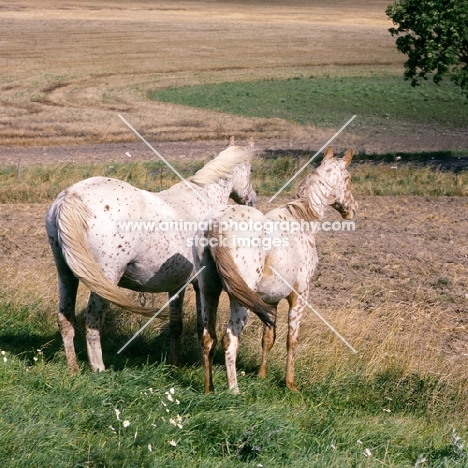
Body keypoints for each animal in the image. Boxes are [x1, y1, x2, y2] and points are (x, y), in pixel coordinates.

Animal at [46, 139, 258, 372]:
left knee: (65, 317)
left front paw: (173, 363)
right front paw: (203, 362)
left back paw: (73, 368)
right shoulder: (199, 284)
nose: (251, 200)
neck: (202, 201)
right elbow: (201, 325)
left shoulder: (177, 285)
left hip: (66, 274)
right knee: (92, 319)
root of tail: (71, 196)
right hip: (106, 276)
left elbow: (176, 324)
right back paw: (99, 368)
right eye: (251, 170)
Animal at [192, 146, 356, 392]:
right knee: (230, 339)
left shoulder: (270, 300)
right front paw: (291, 385)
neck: (301, 220)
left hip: (208, 292)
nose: (353, 209)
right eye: (348, 178)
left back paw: (208, 390)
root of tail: (215, 224)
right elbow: (291, 339)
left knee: (207, 337)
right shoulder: (299, 296)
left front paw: (261, 376)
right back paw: (234, 391)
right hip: (239, 302)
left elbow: (268, 338)